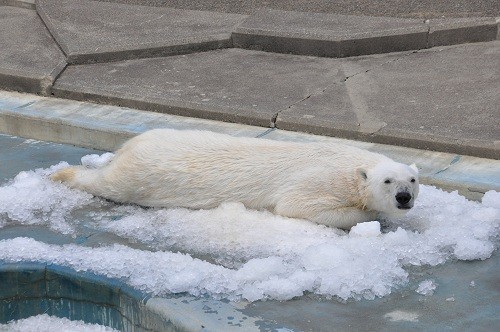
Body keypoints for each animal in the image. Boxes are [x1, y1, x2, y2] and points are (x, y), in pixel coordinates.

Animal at [50, 128, 418, 230]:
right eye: (388, 181)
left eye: (412, 181)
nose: (404, 197)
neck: (349, 162)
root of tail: (130, 144)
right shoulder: (318, 180)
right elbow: (295, 206)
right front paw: (370, 215)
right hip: (139, 174)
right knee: (107, 183)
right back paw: (60, 174)